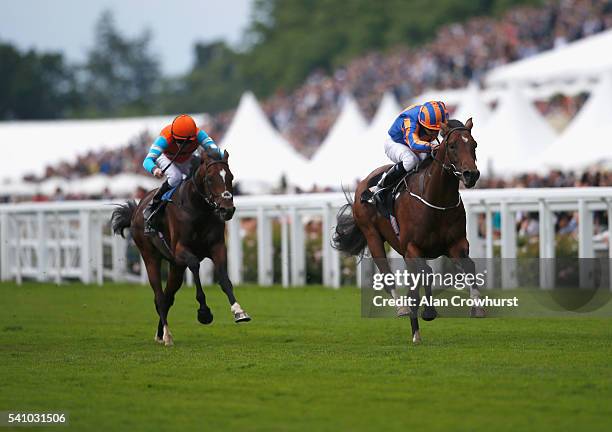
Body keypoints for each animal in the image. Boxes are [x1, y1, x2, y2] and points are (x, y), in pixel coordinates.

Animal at [111, 150, 250, 346]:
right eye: (210, 179)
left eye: (230, 176)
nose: (227, 210)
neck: (198, 209)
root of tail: (137, 209)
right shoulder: (180, 251)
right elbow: (195, 265)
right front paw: (204, 312)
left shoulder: (217, 247)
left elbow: (224, 278)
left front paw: (239, 311)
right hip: (150, 256)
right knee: (160, 296)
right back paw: (167, 336)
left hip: (175, 267)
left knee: (168, 297)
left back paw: (160, 334)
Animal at [334, 118, 482, 344]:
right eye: (452, 146)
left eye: (474, 144)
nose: (470, 174)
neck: (436, 200)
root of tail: (364, 183)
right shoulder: (412, 247)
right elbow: (426, 274)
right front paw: (427, 312)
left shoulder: (456, 244)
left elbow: (469, 267)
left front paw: (477, 307)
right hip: (373, 236)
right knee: (388, 277)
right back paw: (404, 311)